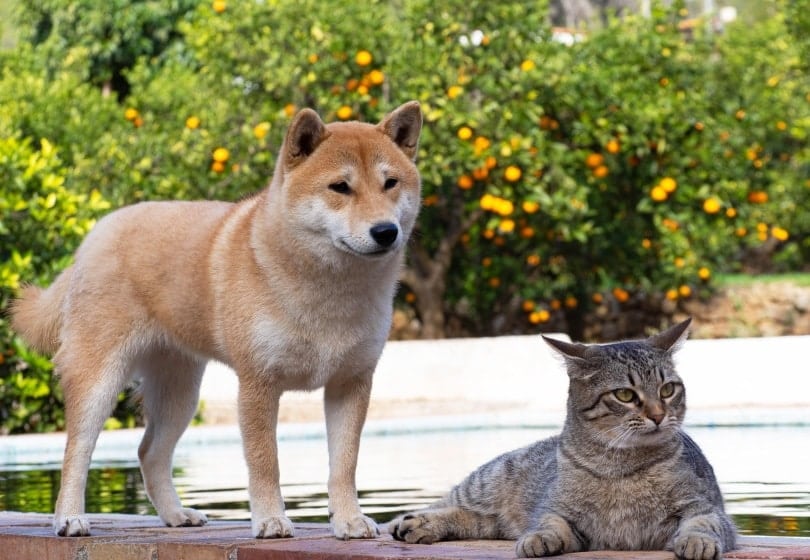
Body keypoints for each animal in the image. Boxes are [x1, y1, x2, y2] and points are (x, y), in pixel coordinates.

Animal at [11, 100, 422, 540]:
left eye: (390, 183)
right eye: (340, 187)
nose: (386, 231)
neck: (330, 290)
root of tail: (95, 234)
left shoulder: (351, 383)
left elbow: (344, 466)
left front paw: (349, 520)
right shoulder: (259, 384)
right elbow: (265, 463)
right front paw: (271, 520)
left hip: (180, 393)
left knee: (149, 452)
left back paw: (176, 515)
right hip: (99, 381)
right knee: (76, 452)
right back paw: (69, 518)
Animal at [388, 320, 736, 560]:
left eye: (668, 389)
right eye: (625, 395)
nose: (659, 415)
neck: (619, 466)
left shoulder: (703, 507)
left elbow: (703, 523)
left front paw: (697, 541)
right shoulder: (554, 508)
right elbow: (549, 523)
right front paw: (539, 538)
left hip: (491, 516)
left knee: (473, 519)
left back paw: (417, 525)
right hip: (486, 481)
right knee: (449, 502)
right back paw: (403, 522)